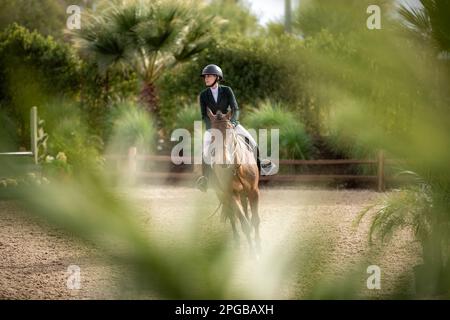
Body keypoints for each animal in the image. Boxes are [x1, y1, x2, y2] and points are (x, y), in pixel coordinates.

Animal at [207, 107, 262, 255]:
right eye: (213, 136)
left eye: (230, 132)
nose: (224, 162)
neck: (237, 169)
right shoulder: (231, 194)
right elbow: (244, 223)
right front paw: (253, 253)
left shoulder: (254, 192)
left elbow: (255, 220)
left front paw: (258, 247)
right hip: (223, 195)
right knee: (232, 216)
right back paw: (237, 242)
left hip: (244, 195)